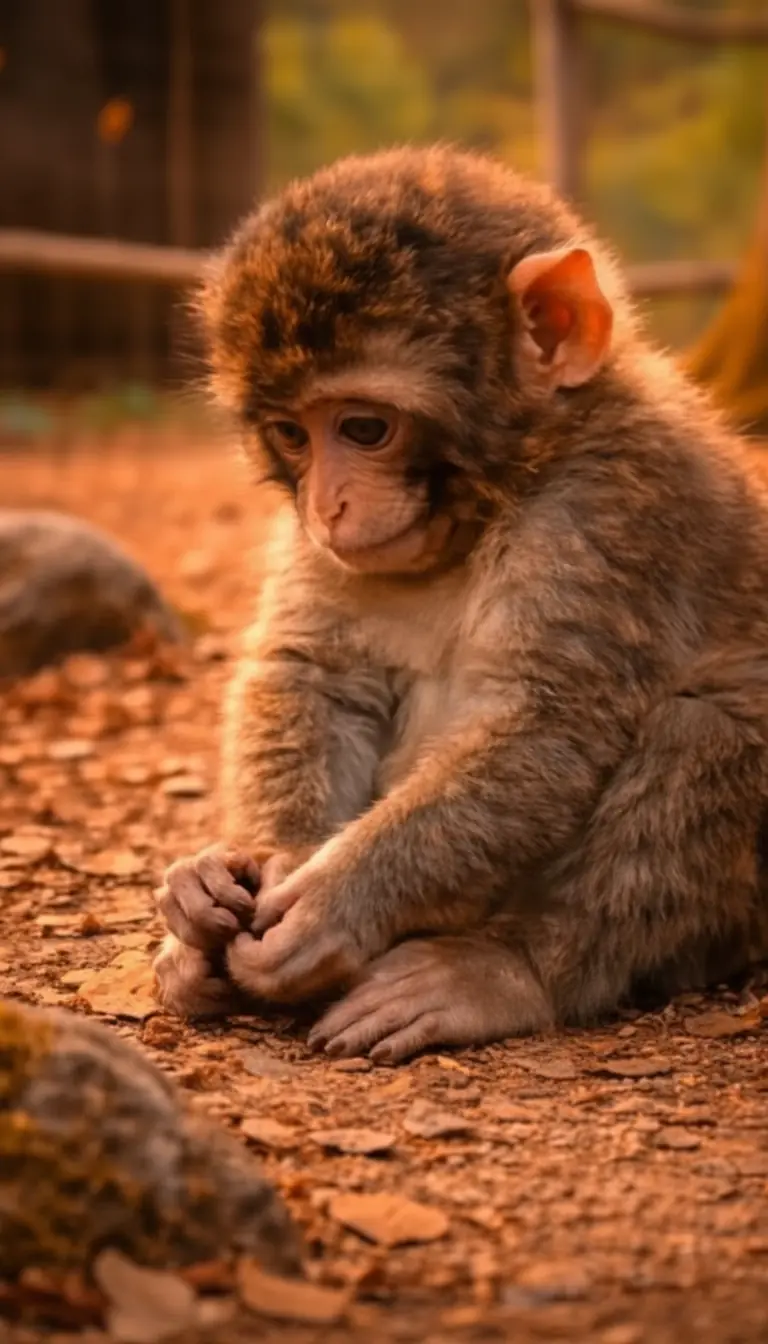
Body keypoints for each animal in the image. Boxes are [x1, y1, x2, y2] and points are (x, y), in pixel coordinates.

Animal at [154, 145, 768, 1063]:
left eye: (364, 429)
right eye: (294, 435)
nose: (328, 504)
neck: (508, 486)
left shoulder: (612, 505)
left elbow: (546, 718)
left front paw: (333, 905)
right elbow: (314, 672)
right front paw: (249, 870)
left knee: (709, 725)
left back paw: (510, 970)